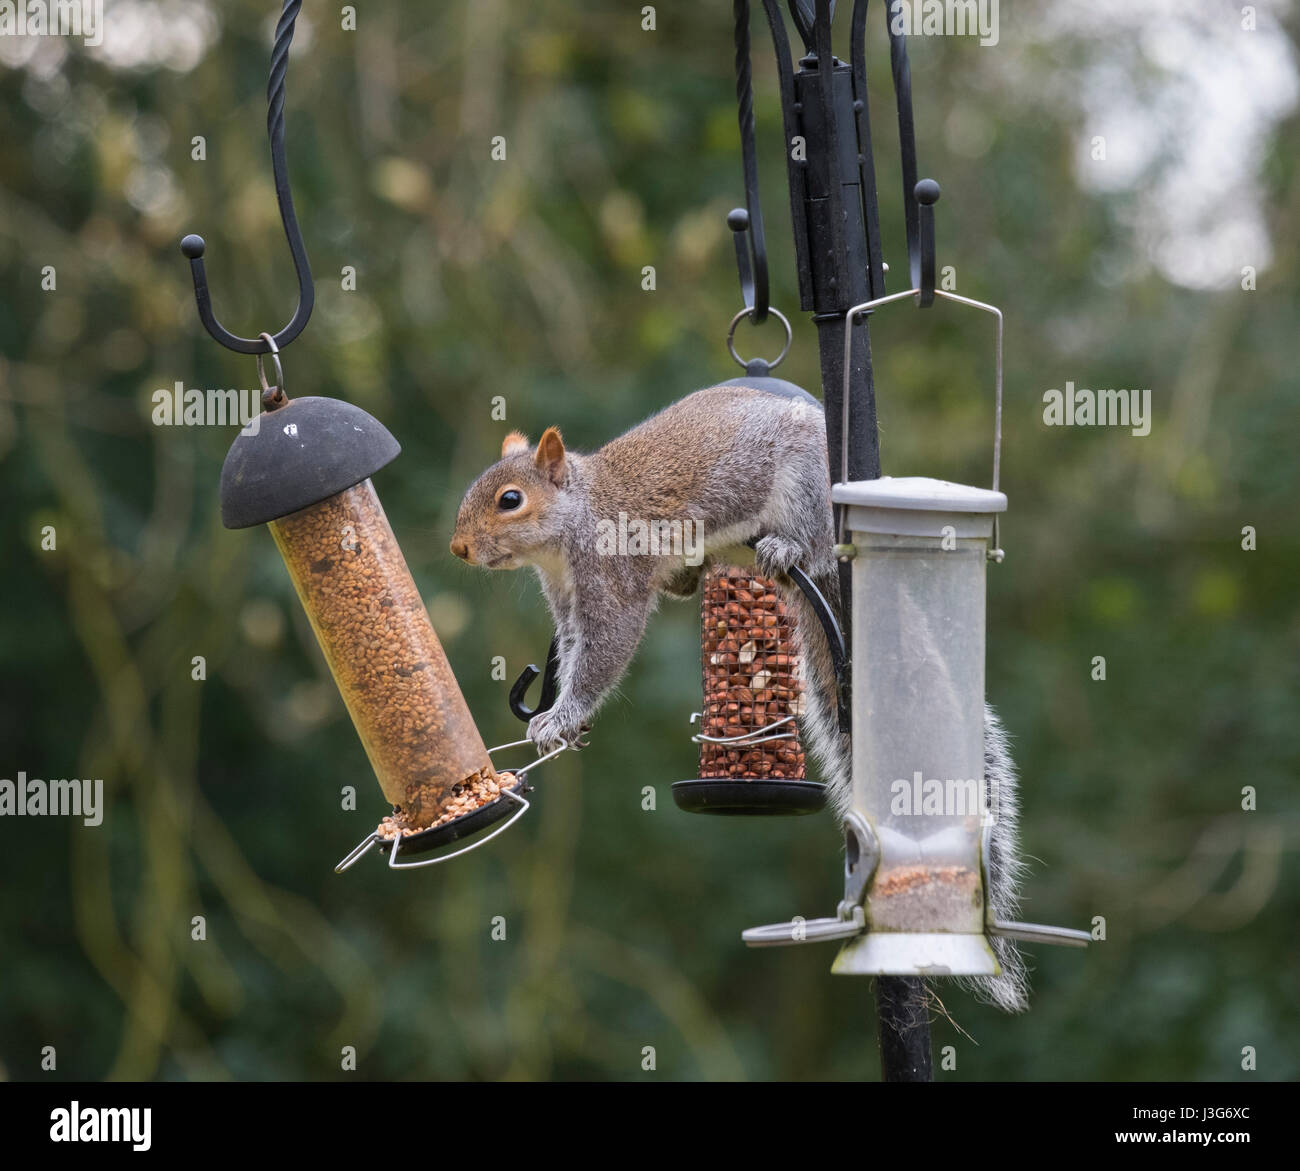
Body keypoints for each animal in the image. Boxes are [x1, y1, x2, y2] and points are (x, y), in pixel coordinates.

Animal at [452, 384, 1029, 1013]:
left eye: (511, 499)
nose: (458, 547)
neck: (571, 525)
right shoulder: (564, 595)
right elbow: (575, 646)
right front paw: (563, 724)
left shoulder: (613, 577)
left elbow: (603, 654)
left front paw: (561, 717)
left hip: (805, 489)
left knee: (815, 546)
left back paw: (785, 547)